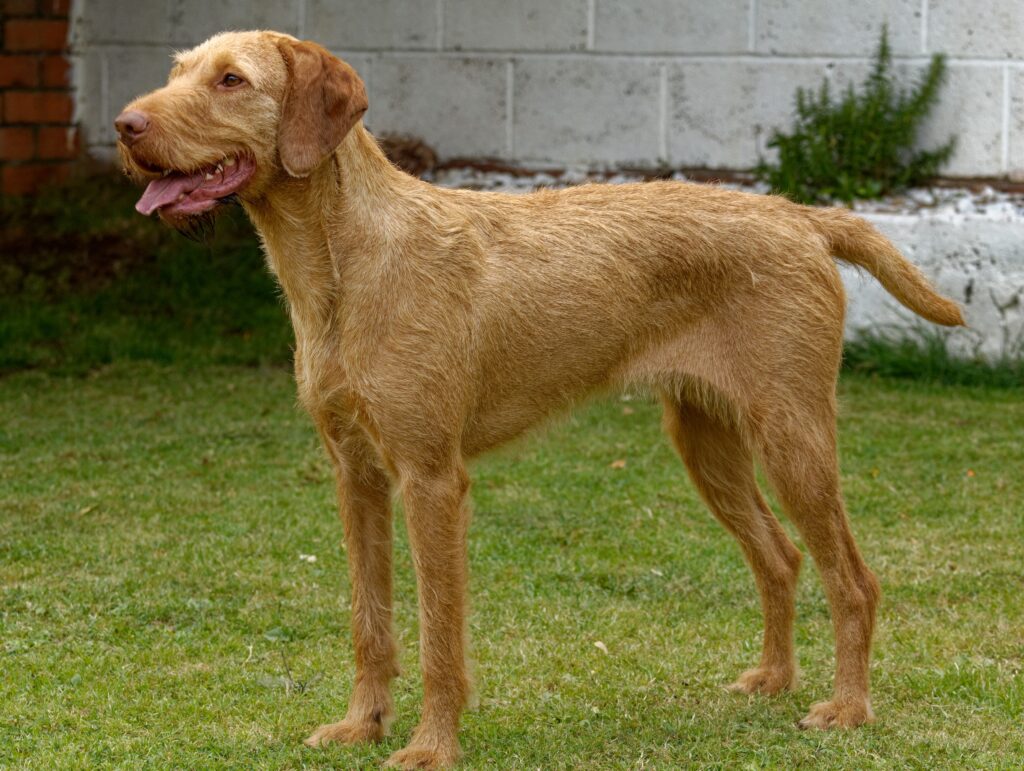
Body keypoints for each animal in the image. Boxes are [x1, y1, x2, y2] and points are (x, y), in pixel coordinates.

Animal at [116, 31, 962, 769]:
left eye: (232, 80)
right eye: (179, 70)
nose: (124, 125)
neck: (346, 263)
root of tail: (800, 215)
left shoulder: (432, 479)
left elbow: (438, 634)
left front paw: (430, 746)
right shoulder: (355, 474)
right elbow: (370, 621)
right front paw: (362, 724)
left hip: (792, 436)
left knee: (853, 579)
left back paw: (847, 708)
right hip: (706, 441)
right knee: (781, 556)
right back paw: (773, 680)